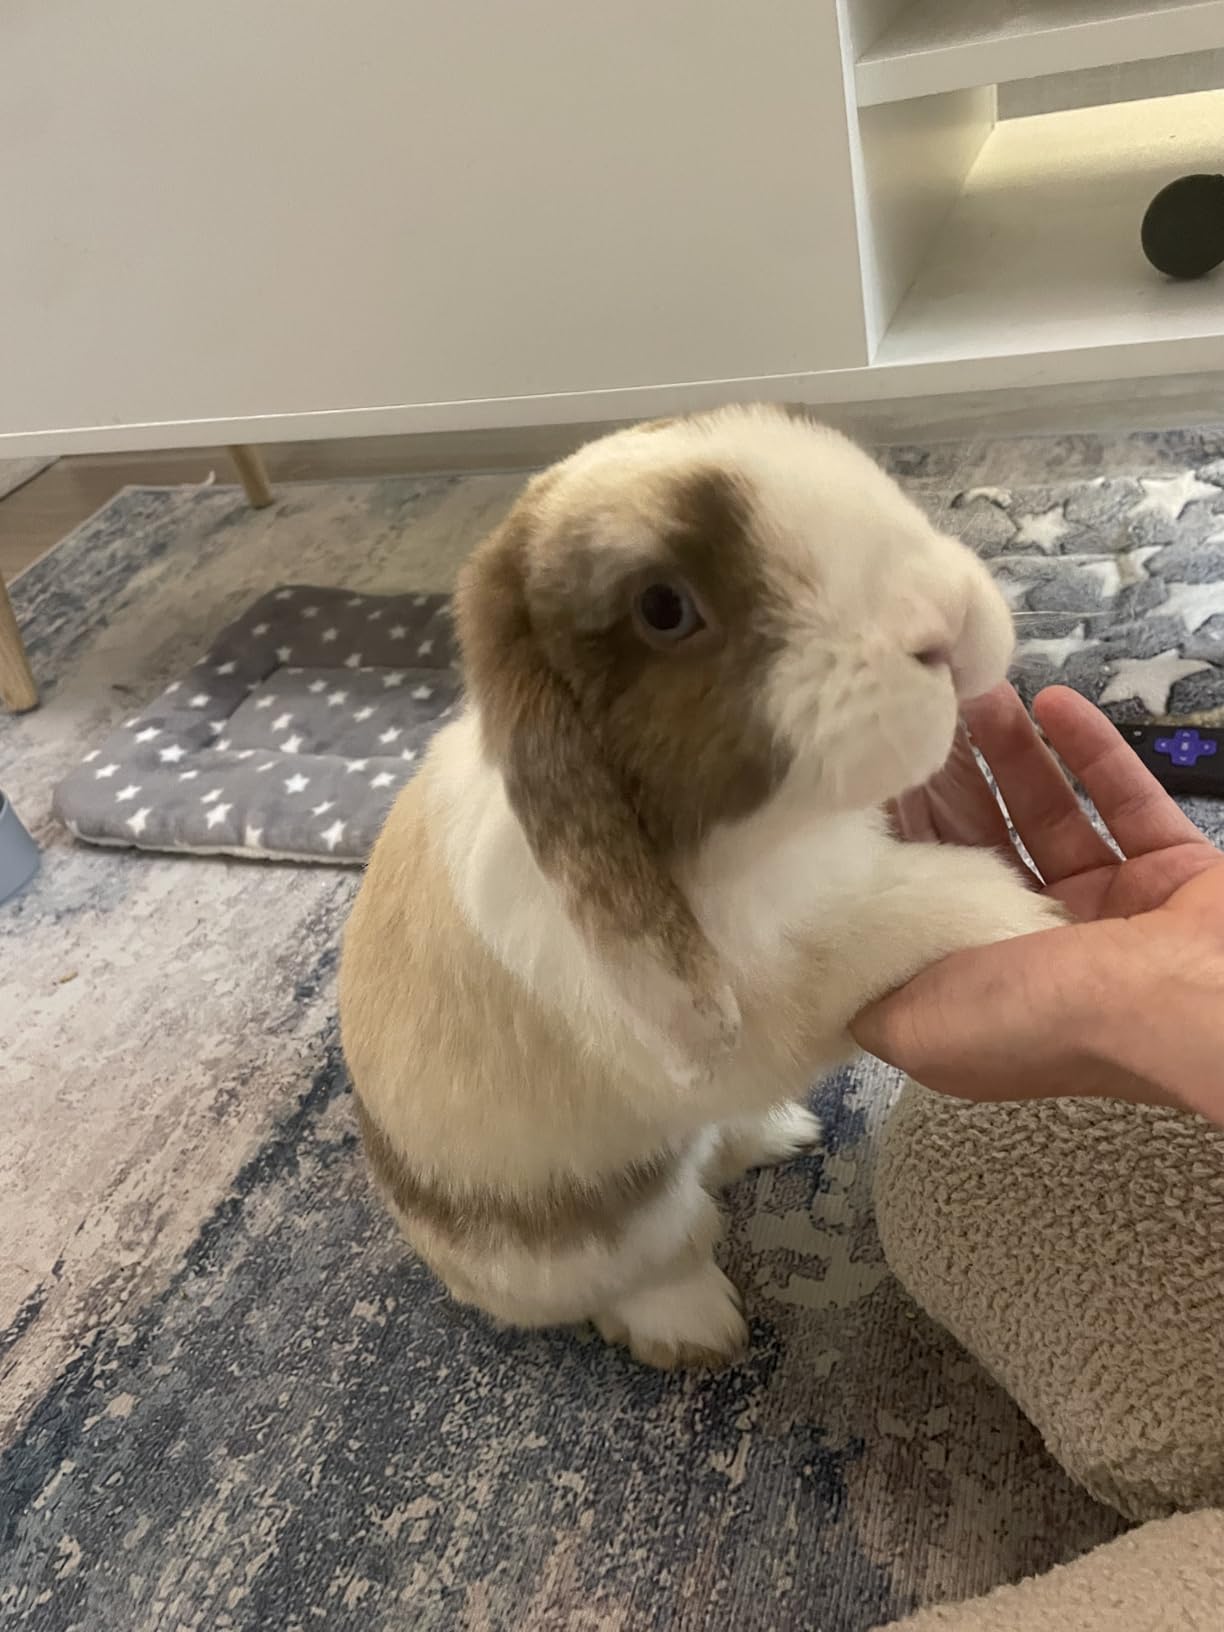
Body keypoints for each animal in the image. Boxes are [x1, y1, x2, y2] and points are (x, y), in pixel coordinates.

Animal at [338, 405, 1064, 1371]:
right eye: (664, 609)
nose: (947, 621)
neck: (757, 845)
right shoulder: (750, 1009)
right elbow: (870, 936)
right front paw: (1015, 910)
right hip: (610, 1223)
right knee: (651, 1264)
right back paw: (696, 1330)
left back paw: (784, 1135)